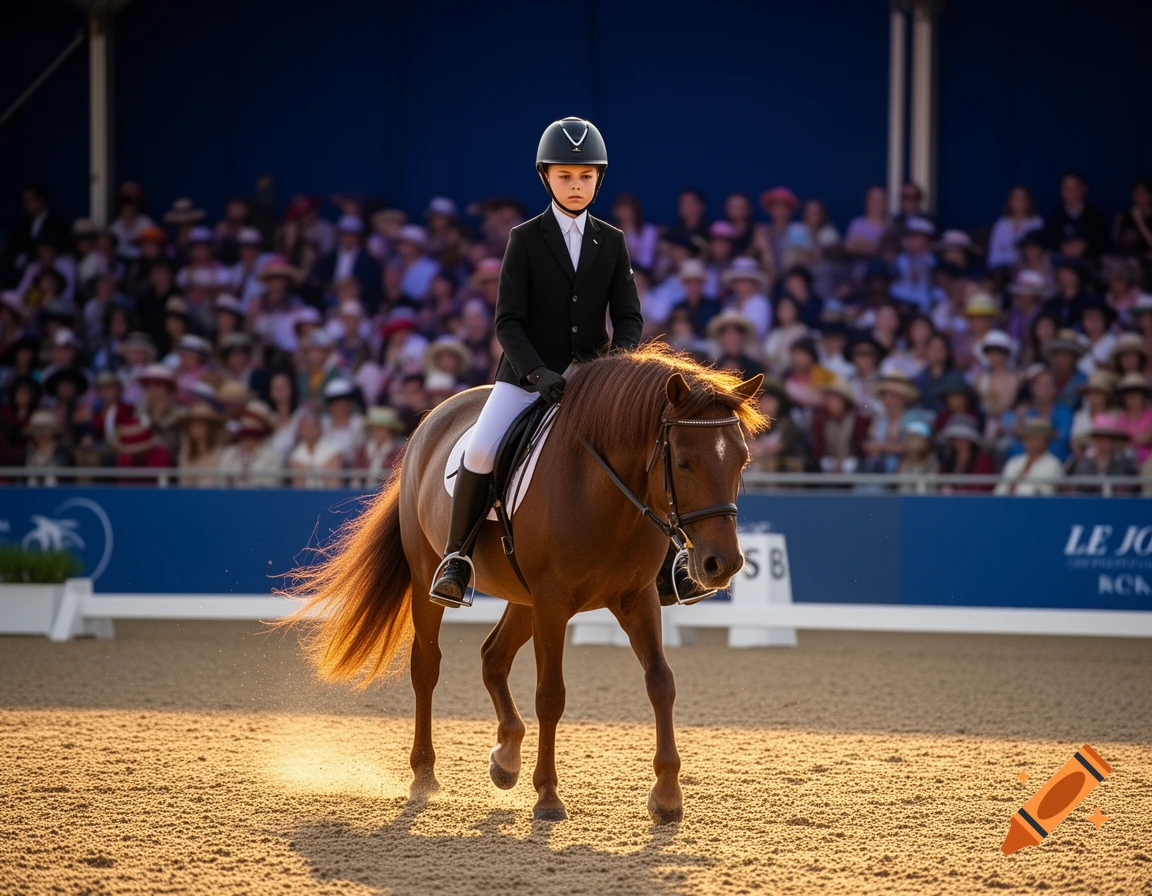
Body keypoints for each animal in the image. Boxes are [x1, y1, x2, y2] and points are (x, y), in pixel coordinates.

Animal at [283, 343, 767, 823]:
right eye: (683, 462)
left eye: (741, 461)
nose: (722, 564)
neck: (603, 489)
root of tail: (432, 419)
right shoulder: (553, 601)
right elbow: (551, 695)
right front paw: (548, 796)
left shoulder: (636, 597)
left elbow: (661, 682)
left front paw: (666, 796)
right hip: (428, 579)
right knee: (427, 666)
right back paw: (425, 775)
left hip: (524, 598)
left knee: (493, 657)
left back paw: (505, 758)